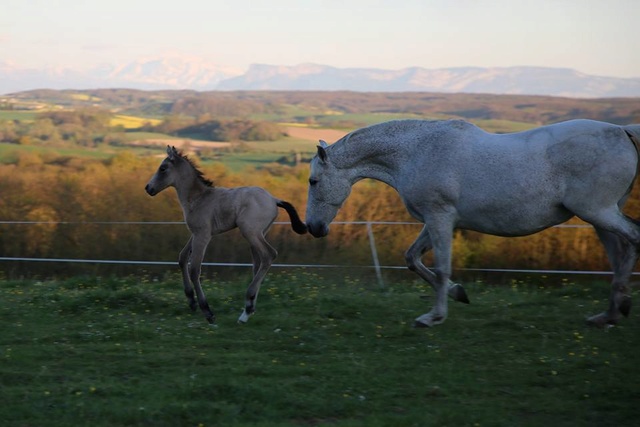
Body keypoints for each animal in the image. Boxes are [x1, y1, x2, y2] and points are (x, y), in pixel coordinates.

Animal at [304, 119, 640, 328]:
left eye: (313, 181)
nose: (313, 228)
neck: (415, 152)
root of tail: (622, 131)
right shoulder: (439, 221)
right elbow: (412, 258)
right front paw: (458, 294)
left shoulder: (439, 217)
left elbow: (440, 267)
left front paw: (432, 317)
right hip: (599, 218)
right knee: (620, 254)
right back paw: (609, 314)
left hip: (598, 212)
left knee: (634, 237)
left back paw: (617, 310)